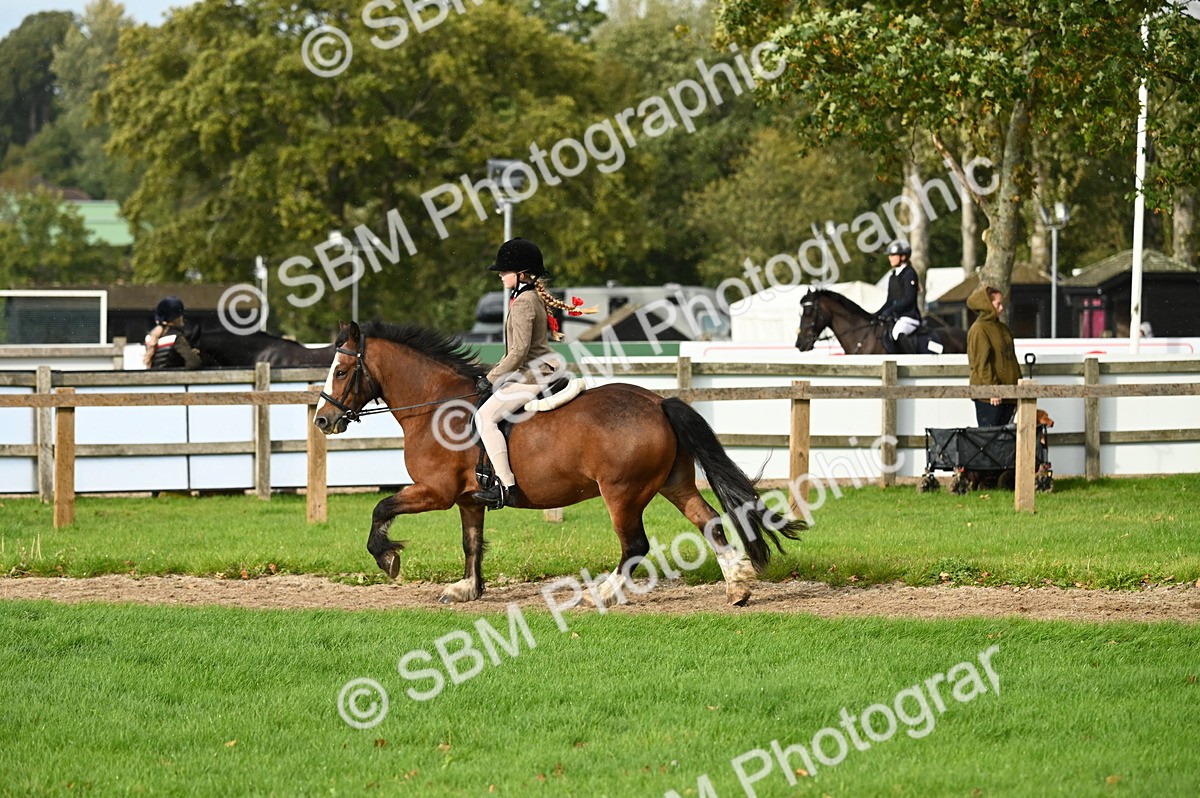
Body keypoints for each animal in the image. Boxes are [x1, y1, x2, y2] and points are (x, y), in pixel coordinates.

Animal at [312, 321, 804, 607]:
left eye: (341, 371)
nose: (322, 420)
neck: (437, 406)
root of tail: (658, 401)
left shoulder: (436, 492)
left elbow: (381, 509)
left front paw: (388, 558)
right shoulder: (469, 499)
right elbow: (471, 543)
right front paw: (466, 589)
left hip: (622, 493)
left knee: (636, 545)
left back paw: (598, 595)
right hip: (674, 484)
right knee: (710, 523)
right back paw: (738, 588)